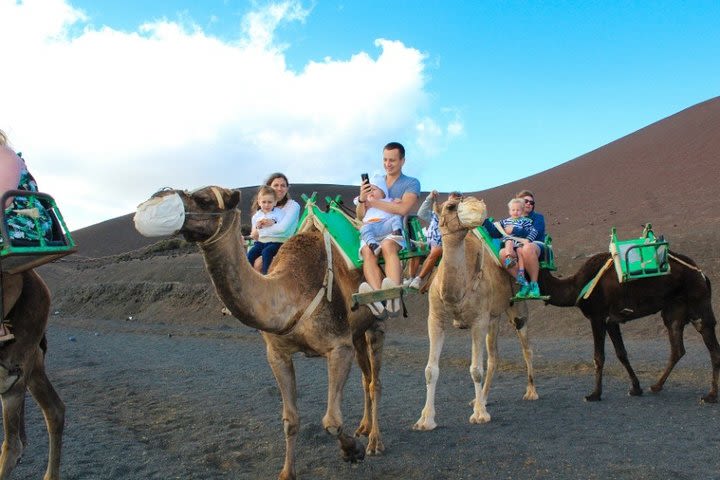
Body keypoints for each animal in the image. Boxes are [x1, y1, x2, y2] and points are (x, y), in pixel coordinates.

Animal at [136, 188, 388, 480]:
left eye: (205, 199)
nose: (159, 195)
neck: (292, 291)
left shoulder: (338, 346)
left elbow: (331, 421)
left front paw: (353, 451)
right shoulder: (277, 354)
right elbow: (290, 420)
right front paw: (287, 473)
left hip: (377, 320)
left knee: (375, 381)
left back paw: (375, 441)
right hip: (357, 331)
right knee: (365, 377)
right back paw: (364, 427)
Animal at [414, 196, 536, 432]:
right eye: (450, 206)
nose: (477, 208)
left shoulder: (478, 320)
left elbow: (476, 369)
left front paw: (479, 415)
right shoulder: (435, 318)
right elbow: (430, 369)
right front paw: (425, 419)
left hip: (516, 308)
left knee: (526, 348)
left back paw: (530, 392)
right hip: (494, 317)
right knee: (494, 356)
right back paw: (483, 399)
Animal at [540, 249, 720, 404]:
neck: (577, 286)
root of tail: (702, 274)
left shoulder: (597, 317)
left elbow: (599, 357)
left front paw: (594, 394)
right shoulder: (611, 321)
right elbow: (621, 354)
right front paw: (636, 388)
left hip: (698, 305)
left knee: (712, 346)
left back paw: (710, 396)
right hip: (674, 311)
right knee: (677, 348)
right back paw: (656, 386)